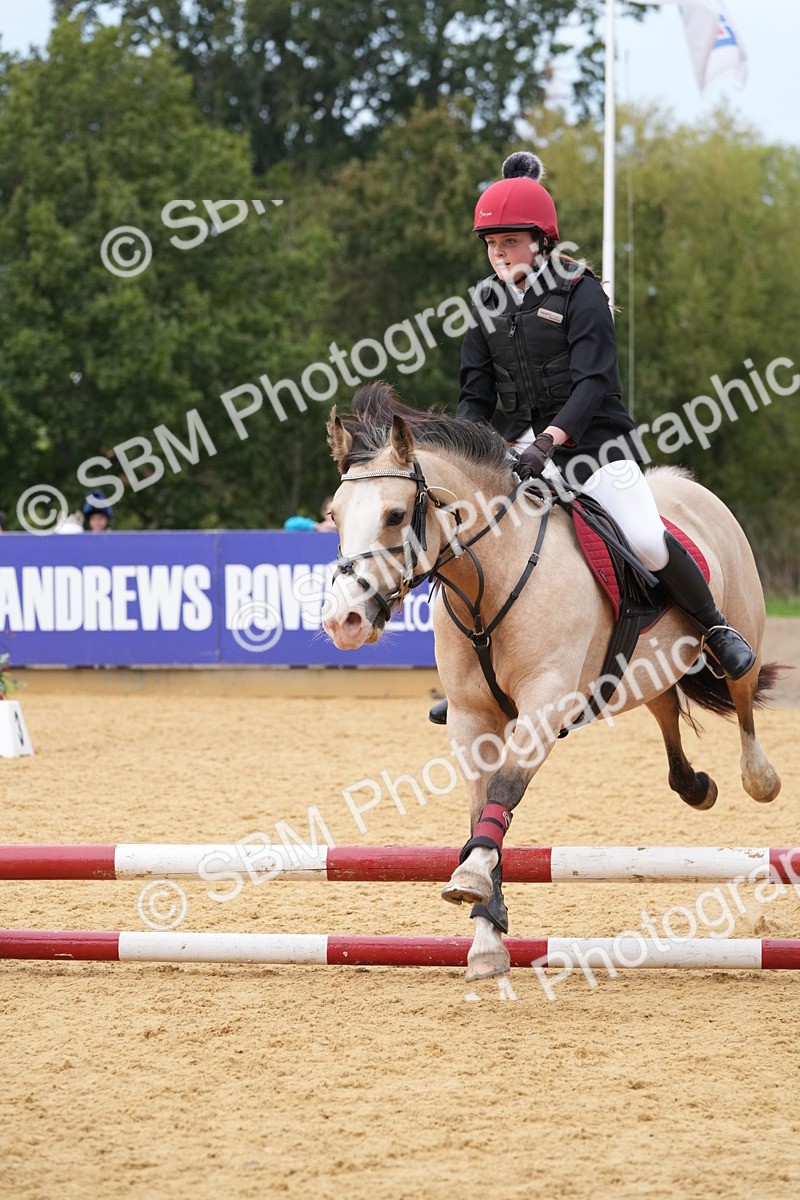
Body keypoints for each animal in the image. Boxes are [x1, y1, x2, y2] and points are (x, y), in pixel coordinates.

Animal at [322, 382, 781, 982]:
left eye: (396, 514)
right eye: (334, 516)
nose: (343, 621)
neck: (491, 577)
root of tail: (686, 486)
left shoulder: (544, 703)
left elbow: (506, 788)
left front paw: (471, 881)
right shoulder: (472, 718)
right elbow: (483, 806)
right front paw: (486, 936)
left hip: (739, 625)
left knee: (742, 691)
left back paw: (759, 777)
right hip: (646, 668)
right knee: (664, 707)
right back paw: (694, 785)